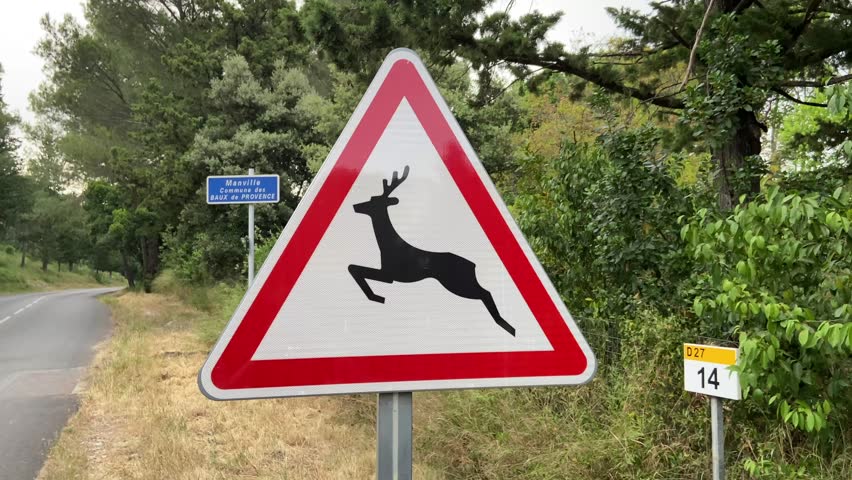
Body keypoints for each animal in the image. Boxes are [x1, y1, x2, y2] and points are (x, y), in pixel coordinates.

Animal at [348, 165, 516, 336]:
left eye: (373, 201)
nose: (355, 206)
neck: (387, 245)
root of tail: (473, 265)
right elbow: (353, 268)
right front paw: (377, 296)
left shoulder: (390, 274)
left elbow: (354, 269)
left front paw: (376, 296)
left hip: (457, 283)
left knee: (485, 293)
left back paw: (507, 326)